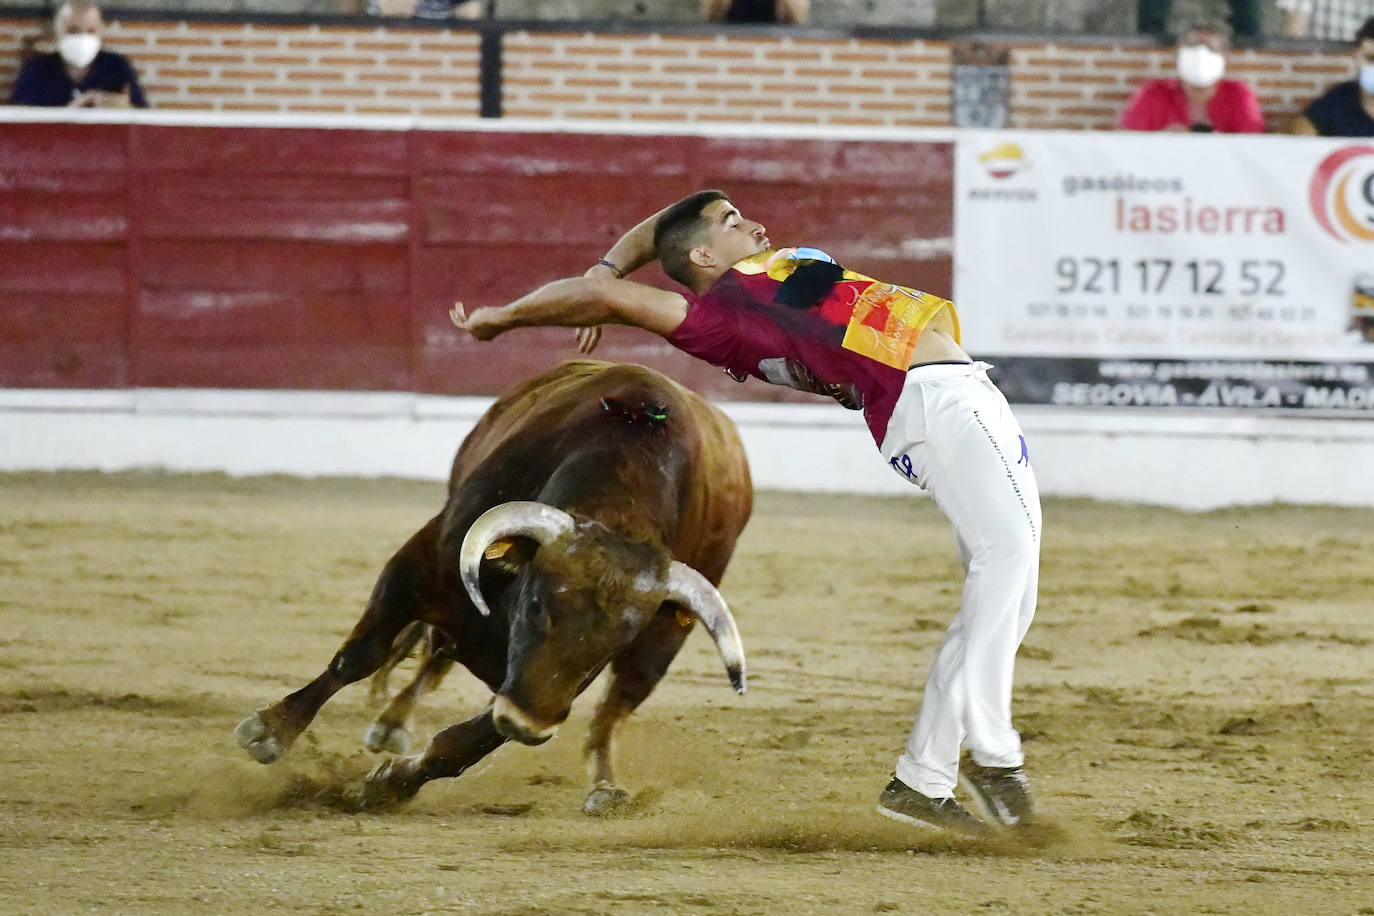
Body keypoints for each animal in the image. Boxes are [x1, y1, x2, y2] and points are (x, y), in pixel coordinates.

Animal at [234, 359, 752, 818]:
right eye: (537, 604)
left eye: (616, 641)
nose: (529, 724)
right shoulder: (420, 566)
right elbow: (361, 654)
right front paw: (270, 730)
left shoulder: (547, 686)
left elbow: (469, 741)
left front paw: (390, 785)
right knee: (430, 653)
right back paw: (390, 722)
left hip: (657, 649)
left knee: (610, 715)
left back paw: (606, 789)